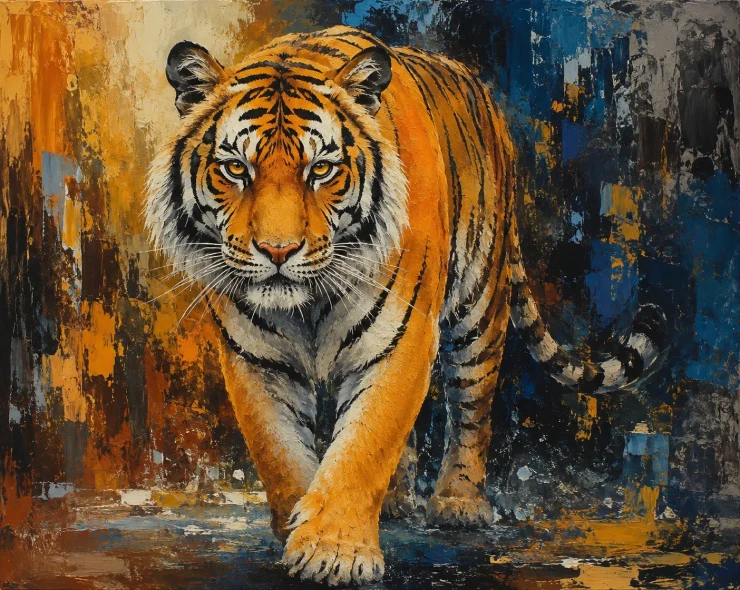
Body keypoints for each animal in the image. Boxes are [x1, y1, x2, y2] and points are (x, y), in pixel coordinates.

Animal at [145, 25, 665, 586]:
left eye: (321, 170)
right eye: (235, 169)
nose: (278, 251)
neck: (309, 306)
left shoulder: (401, 340)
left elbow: (365, 443)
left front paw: (335, 551)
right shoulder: (255, 358)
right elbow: (279, 451)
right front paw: (297, 527)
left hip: (479, 307)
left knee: (472, 408)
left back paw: (459, 502)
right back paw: (394, 502)